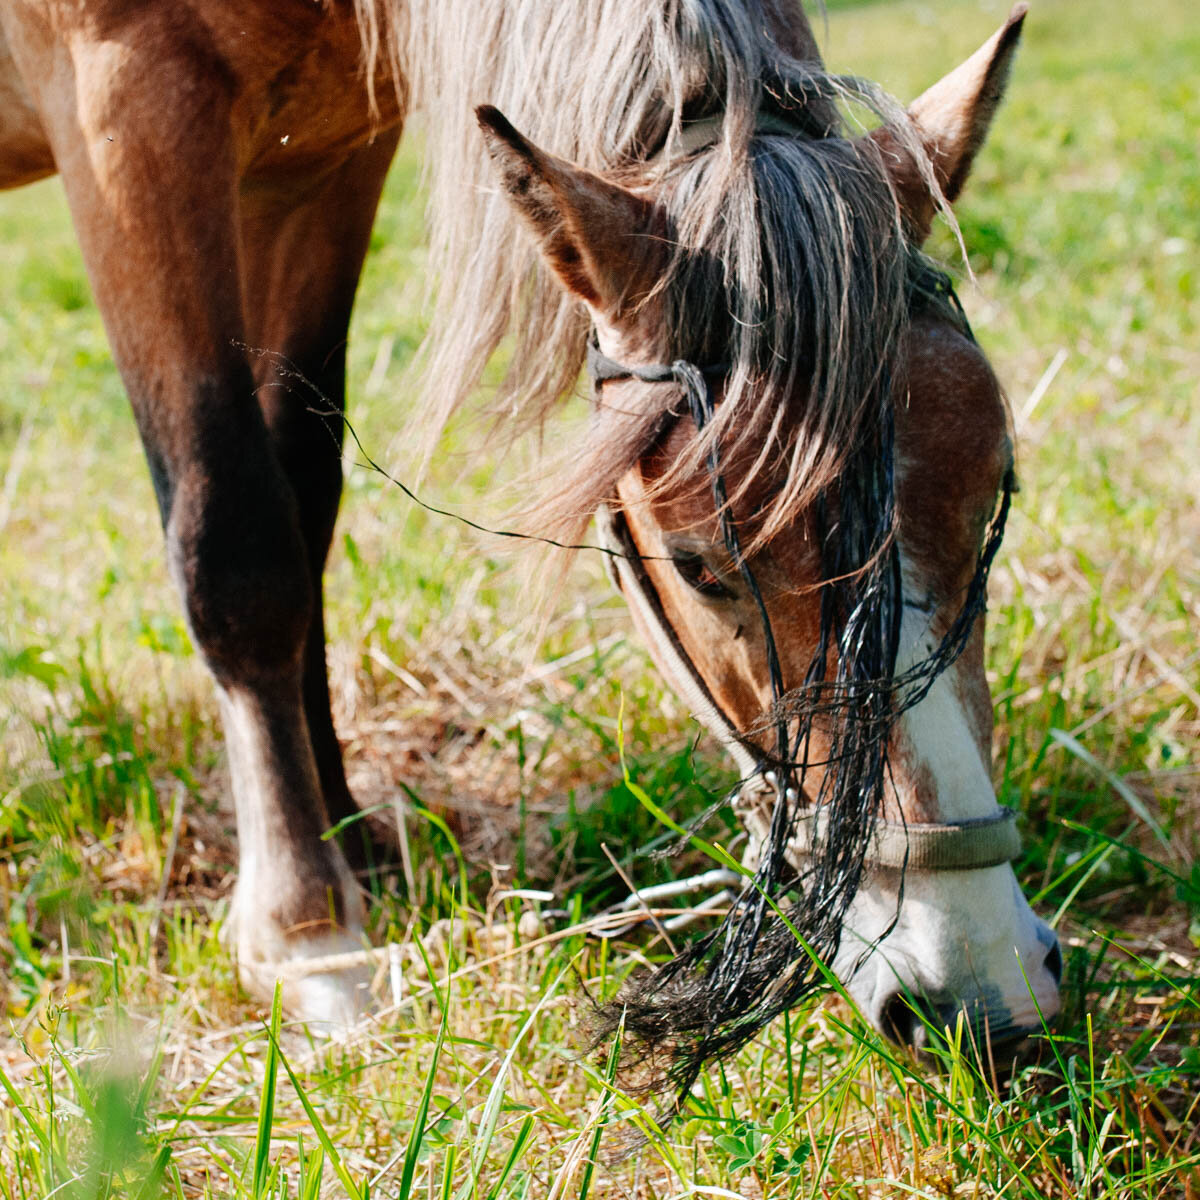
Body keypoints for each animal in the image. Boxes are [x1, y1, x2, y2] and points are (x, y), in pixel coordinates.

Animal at [2, 0, 1060, 1099]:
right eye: (700, 567)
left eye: (994, 497)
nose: (980, 995)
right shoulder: (128, 121)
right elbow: (240, 550)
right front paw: (308, 933)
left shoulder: (321, 165)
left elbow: (304, 503)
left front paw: (348, 838)